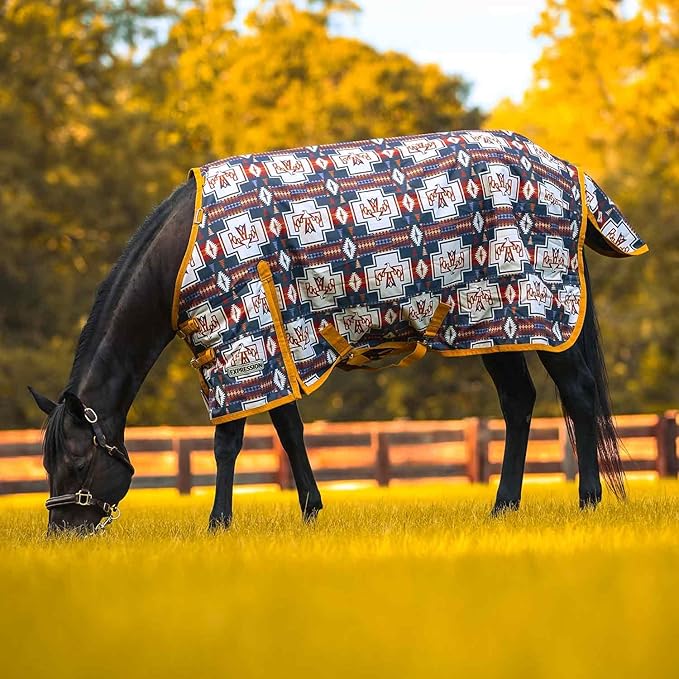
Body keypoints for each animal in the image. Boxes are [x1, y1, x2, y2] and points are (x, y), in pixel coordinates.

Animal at [29, 129, 647, 534]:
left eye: (77, 461)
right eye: (46, 462)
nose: (64, 533)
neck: (186, 248)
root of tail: (562, 169)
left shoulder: (240, 346)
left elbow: (228, 442)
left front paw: (218, 523)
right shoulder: (276, 347)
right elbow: (290, 432)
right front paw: (310, 510)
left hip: (542, 312)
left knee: (578, 394)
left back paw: (589, 501)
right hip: (493, 322)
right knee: (519, 402)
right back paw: (503, 507)